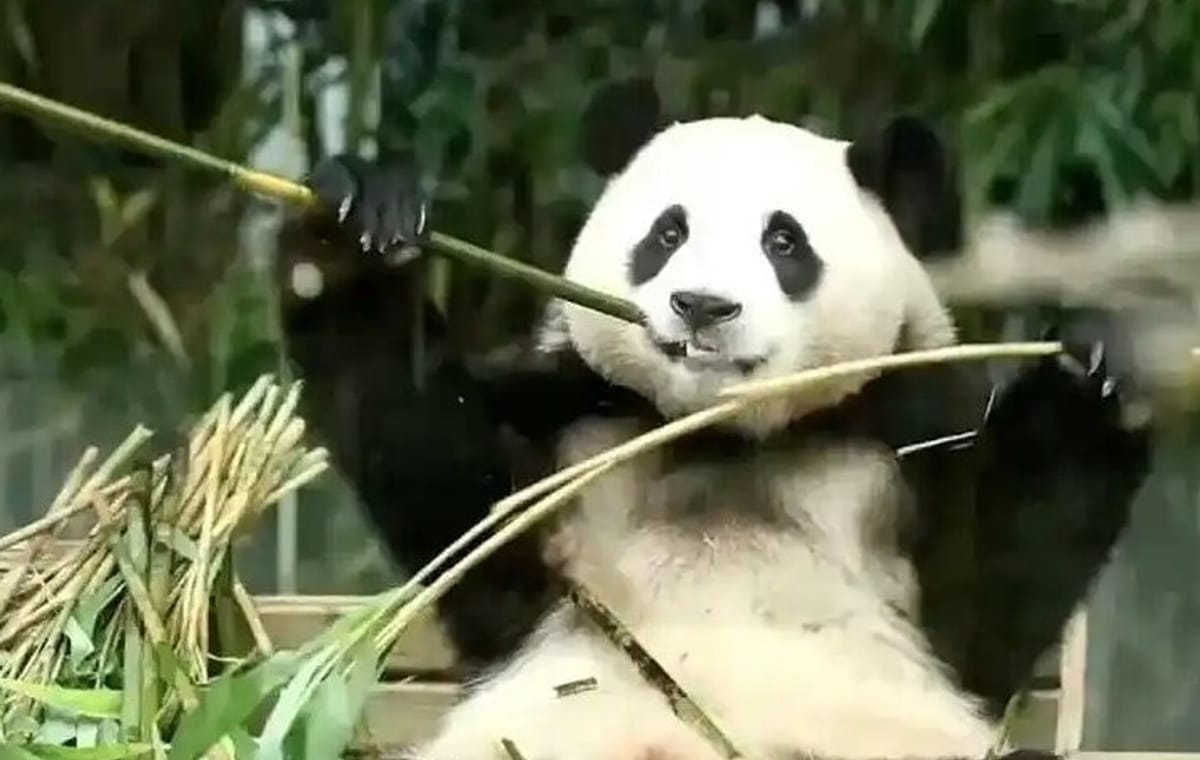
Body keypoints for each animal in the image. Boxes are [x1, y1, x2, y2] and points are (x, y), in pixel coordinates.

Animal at [274, 80, 1153, 760]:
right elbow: (453, 493)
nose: (703, 306)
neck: (722, 434)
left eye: (784, 242)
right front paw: (352, 228)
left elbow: (992, 592)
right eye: (668, 232)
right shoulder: (573, 423)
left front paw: (1101, 365)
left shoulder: (903, 441)